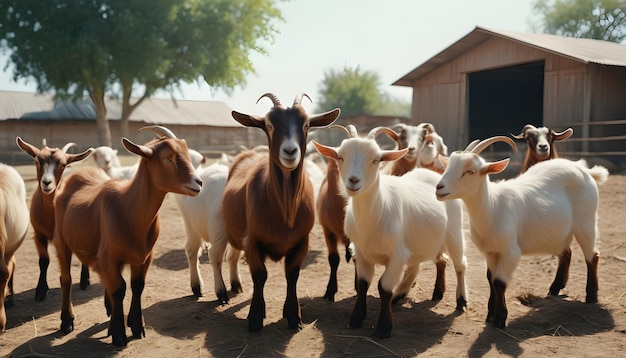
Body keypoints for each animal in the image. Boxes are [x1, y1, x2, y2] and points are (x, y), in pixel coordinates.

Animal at [15, 138, 93, 300]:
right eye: (37, 161)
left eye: (63, 165)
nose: (46, 182)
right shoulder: (38, 234)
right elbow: (44, 261)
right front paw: (40, 290)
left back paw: (85, 281)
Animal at [53, 126, 201, 346]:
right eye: (167, 158)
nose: (198, 183)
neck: (129, 210)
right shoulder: (109, 257)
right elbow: (119, 289)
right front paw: (119, 334)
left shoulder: (144, 257)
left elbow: (136, 286)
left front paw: (136, 325)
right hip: (61, 241)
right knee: (66, 278)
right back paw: (67, 321)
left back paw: (108, 309)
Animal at [219, 93, 336, 332]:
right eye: (269, 125)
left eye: (306, 124)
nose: (290, 151)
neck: (285, 210)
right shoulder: (252, 241)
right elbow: (260, 275)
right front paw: (255, 318)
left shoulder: (301, 242)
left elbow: (292, 275)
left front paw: (293, 316)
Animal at [310, 125, 466, 338]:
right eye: (340, 157)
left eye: (376, 160)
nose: (353, 180)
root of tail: (432, 174)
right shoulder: (362, 253)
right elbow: (363, 285)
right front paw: (356, 319)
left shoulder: (396, 256)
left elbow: (383, 287)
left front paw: (384, 327)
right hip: (423, 240)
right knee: (428, 263)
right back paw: (417, 293)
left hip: (454, 233)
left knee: (460, 265)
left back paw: (461, 301)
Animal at [434, 136, 604, 328]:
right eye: (448, 166)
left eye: (469, 171)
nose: (439, 187)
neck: (492, 208)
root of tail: (583, 169)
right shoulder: (490, 252)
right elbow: (490, 279)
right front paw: (490, 314)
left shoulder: (511, 252)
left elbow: (499, 282)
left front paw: (500, 318)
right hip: (558, 232)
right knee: (567, 252)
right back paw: (555, 288)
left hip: (586, 221)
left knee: (592, 256)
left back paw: (591, 296)